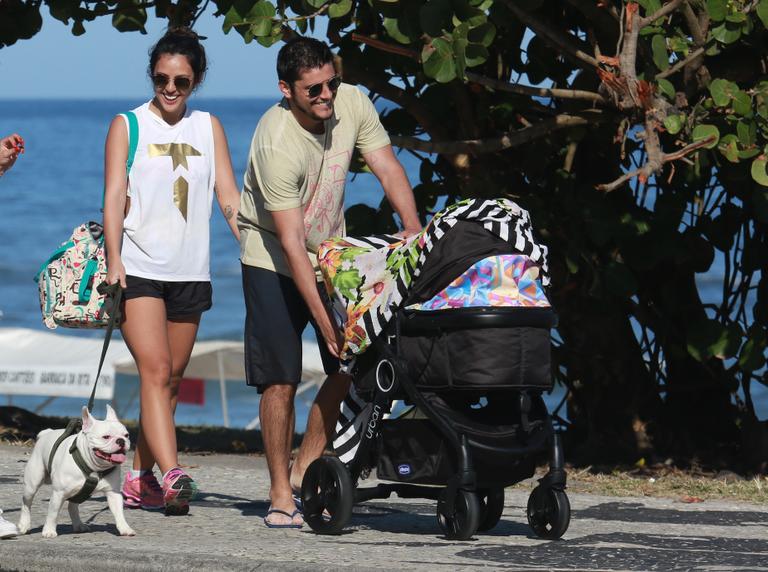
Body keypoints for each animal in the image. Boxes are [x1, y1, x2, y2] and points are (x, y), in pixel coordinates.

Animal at [18, 404, 135, 540]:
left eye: (126, 435)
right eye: (106, 437)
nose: (121, 441)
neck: (94, 468)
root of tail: (46, 433)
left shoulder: (113, 493)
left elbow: (119, 513)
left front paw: (125, 528)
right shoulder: (58, 494)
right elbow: (53, 513)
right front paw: (49, 530)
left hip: (80, 493)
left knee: (72, 506)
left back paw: (78, 525)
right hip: (32, 485)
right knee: (26, 504)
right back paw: (24, 525)